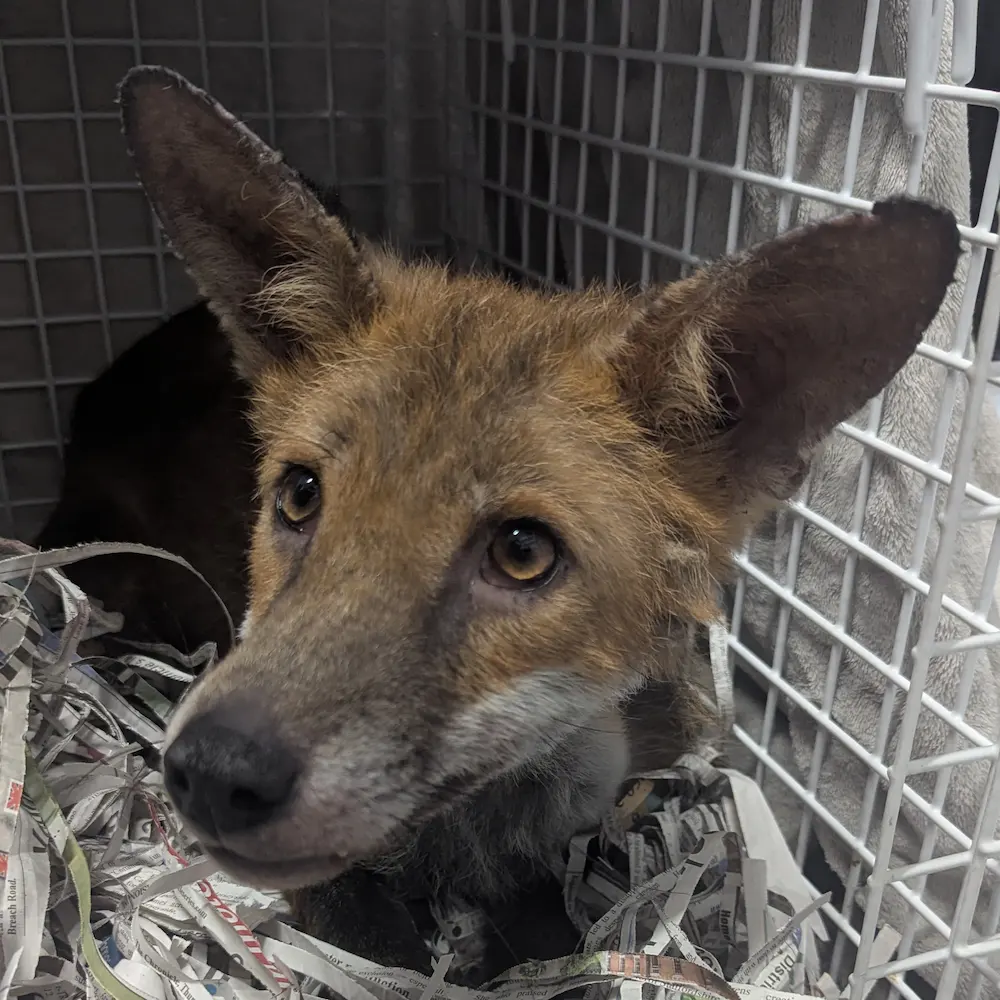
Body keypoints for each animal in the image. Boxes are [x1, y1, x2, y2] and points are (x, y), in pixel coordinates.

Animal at [117, 66, 960, 981]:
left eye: (522, 552)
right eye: (301, 496)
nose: (212, 771)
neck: (459, 839)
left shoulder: (555, 842)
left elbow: (555, 942)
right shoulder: (340, 887)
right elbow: (377, 949)